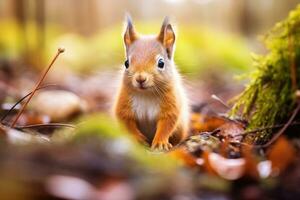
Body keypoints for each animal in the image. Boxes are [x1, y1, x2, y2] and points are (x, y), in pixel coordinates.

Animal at [113, 15, 189, 150]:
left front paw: (160, 143)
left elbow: (167, 124)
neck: (146, 94)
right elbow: (127, 122)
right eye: (126, 63)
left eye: (161, 63)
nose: (140, 79)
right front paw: (137, 139)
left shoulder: (171, 104)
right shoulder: (124, 103)